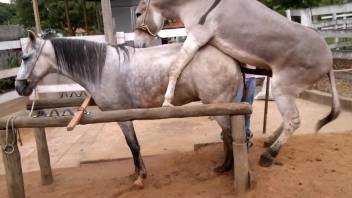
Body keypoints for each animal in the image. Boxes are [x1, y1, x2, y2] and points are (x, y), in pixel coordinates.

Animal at [15, 31, 242, 187]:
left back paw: (227, 168)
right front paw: (138, 172)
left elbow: (133, 146)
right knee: (227, 136)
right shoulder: (125, 117)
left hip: (219, 108)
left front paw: (140, 178)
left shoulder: (122, 118)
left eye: (25, 57)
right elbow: (133, 145)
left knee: (230, 136)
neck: (101, 69)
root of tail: (231, 60)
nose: (18, 86)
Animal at [133, 0, 340, 167]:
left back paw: (269, 155)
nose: (137, 46)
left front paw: (167, 101)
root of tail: (329, 58)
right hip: (289, 89)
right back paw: (270, 139)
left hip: (281, 87)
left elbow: (176, 66)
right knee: (289, 119)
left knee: (293, 121)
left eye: (137, 14)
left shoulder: (197, 36)